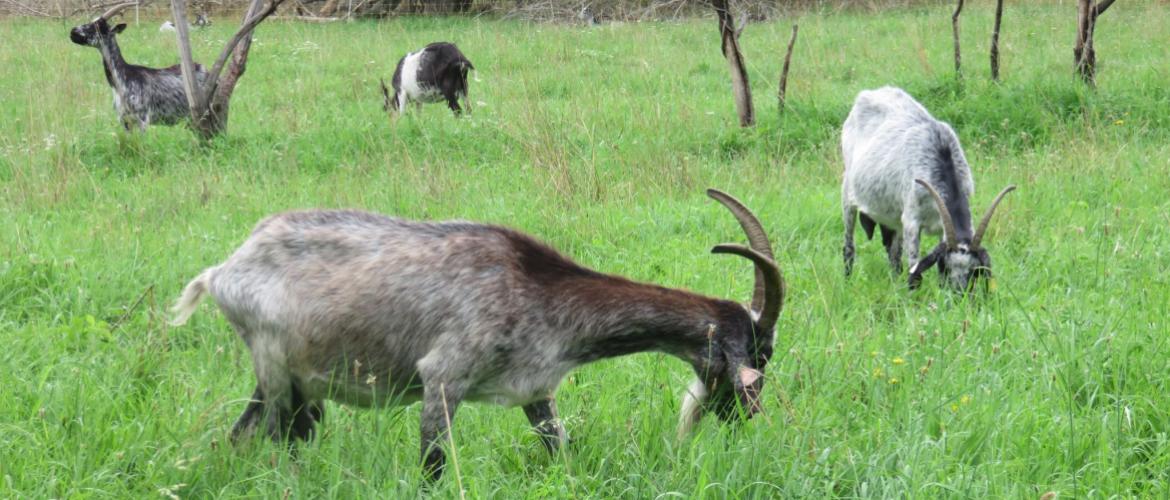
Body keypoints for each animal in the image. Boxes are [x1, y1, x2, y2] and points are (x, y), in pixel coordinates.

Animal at [70, 1, 208, 131]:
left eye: (97, 26)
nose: (72, 32)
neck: (122, 80)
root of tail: (203, 68)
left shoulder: (142, 120)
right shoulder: (124, 122)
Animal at [169, 188, 786, 482]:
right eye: (761, 354)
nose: (742, 422)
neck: (538, 287)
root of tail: (225, 269)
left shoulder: (536, 391)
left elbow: (558, 449)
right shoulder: (443, 379)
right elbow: (433, 467)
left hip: (289, 380)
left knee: (246, 436)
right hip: (275, 371)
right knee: (272, 438)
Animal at [842, 86, 1015, 291]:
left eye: (974, 272)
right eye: (948, 266)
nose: (960, 295)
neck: (941, 156)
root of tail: (871, 92)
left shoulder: (941, 228)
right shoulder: (911, 222)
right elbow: (915, 273)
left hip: (893, 217)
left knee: (893, 253)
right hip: (848, 194)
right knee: (849, 247)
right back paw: (847, 280)